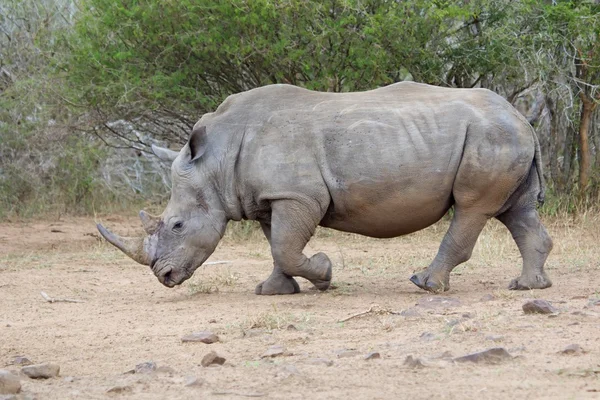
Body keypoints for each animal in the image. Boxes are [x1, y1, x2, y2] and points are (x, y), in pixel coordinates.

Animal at [97, 82, 552, 294]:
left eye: (176, 225)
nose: (164, 276)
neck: (217, 160)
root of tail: (521, 115)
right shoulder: (271, 198)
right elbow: (277, 246)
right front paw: (273, 291)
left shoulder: (297, 195)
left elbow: (286, 246)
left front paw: (325, 273)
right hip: (504, 137)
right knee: (517, 211)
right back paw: (527, 287)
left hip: (491, 137)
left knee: (473, 208)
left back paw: (425, 284)